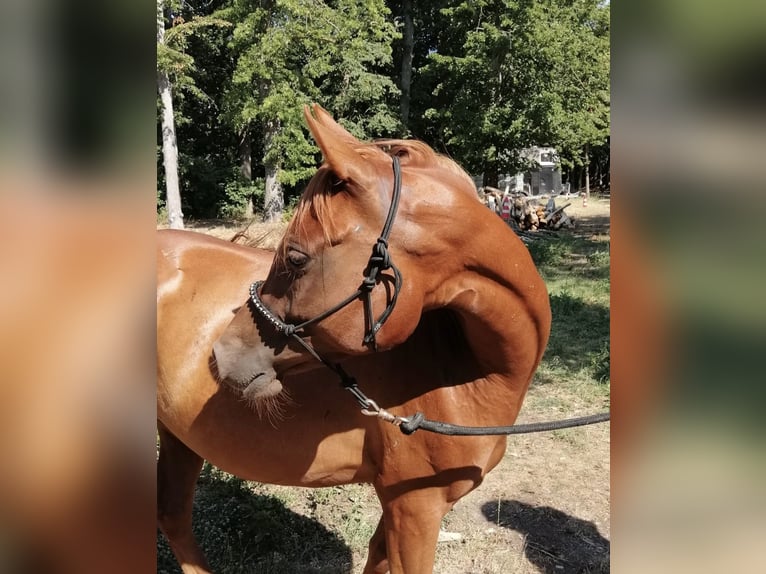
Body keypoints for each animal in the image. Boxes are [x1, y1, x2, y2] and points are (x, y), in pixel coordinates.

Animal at [158, 104, 551, 574]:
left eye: (295, 257)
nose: (221, 353)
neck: (468, 374)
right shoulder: (415, 509)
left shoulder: (400, 510)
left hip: (178, 435)